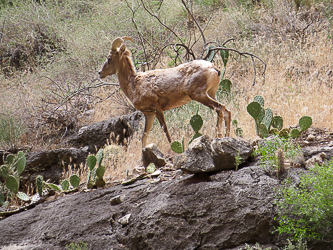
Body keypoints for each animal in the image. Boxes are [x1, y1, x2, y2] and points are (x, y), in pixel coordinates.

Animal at [97, 36, 230, 147]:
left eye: (109, 58)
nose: (100, 73)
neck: (134, 83)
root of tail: (213, 68)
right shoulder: (149, 114)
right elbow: (144, 137)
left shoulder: (157, 108)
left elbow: (165, 130)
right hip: (211, 94)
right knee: (226, 110)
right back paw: (227, 136)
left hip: (200, 95)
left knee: (220, 108)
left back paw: (219, 136)